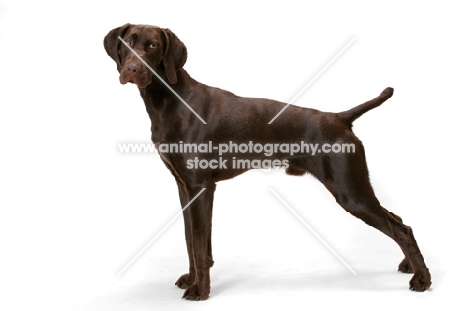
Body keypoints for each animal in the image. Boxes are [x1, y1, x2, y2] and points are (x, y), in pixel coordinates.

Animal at [103, 23, 432, 302]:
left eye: (153, 46)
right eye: (127, 42)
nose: (132, 69)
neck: (169, 101)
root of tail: (340, 118)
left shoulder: (200, 187)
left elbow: (198, 243)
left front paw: (200, 291)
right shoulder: (185, 186)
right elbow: (191, 240)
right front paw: (193, 279)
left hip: (350, 191)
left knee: (401, 228)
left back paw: (422, 279)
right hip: (355, 189)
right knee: (398, 220)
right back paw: (408, 266)